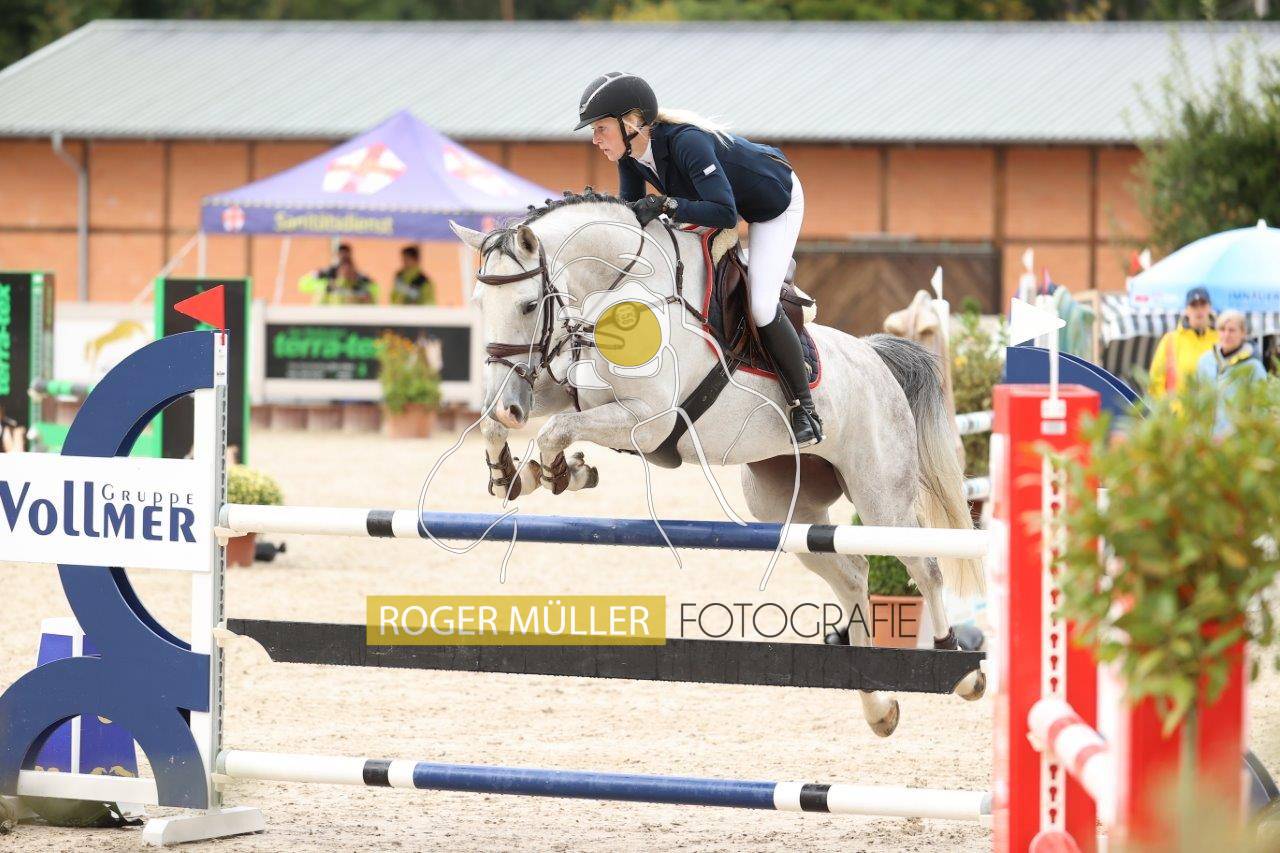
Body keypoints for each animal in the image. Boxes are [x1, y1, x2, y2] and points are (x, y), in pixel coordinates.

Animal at [449, 191, 985, 737]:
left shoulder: (650, 420)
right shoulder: (574, 393)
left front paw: (560, 471)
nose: (508, 405)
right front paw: (515, 475)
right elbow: (511, 424)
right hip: (785, 508)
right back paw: (879, 707)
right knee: (852, 573)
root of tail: (875, 359)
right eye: (478, 305)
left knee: (925, 565)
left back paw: (960, 670)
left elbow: (556, 430)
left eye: (528, 305)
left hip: (880, 496)